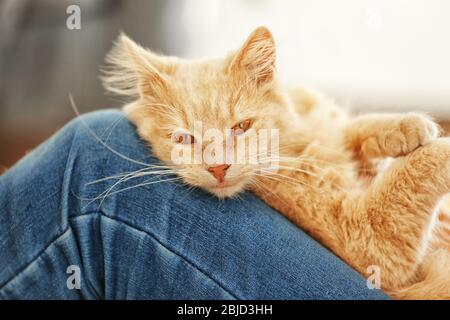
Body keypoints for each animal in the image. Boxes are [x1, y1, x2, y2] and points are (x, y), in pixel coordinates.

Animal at [102, 26, 450, 298]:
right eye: (184, 139)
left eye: (241, 127)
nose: (218, 168)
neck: (292, 144)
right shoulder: (368, 239)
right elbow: (420, 163)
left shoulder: (328, 130)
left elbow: (355, 129)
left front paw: (408, 127)